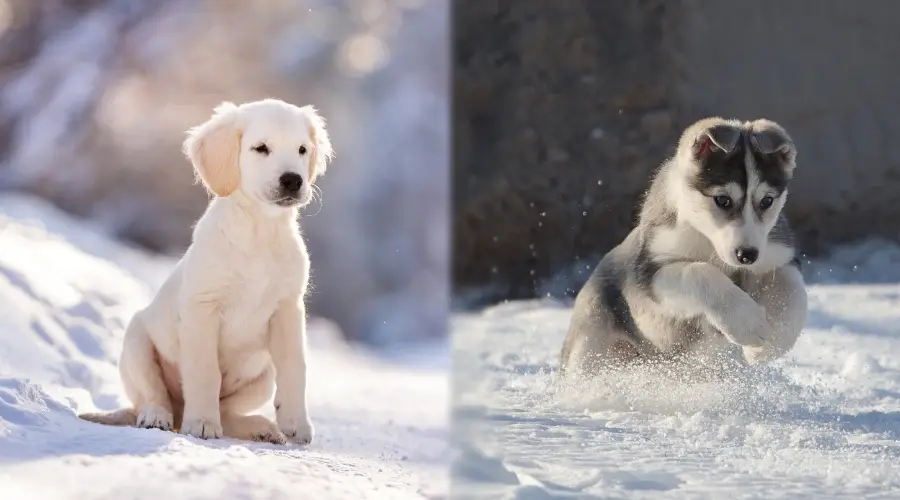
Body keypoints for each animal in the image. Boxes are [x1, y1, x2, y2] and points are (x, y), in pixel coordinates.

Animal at [79, 98, 332, 446]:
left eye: (302, 149)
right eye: (261, 148)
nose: (293, 180)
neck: (258, 231)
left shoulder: (288, 309)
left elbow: (296, 367)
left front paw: (296, 424)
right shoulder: (202, 308)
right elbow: (204, 372)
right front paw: (200, 423)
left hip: (263, 375)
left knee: (228, 412)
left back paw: (262, 428)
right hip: (136, 342)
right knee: (152, 396)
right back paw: (159, 416)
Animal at [564, 117, 808, 376]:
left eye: (767, 201)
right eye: (723, 200)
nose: (747, 255)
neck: (708, 241)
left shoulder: (777, 256)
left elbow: (795, 293)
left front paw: (767, 346)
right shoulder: (649, 274)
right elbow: (698, 272)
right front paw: (746, 321)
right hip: (590, 346)